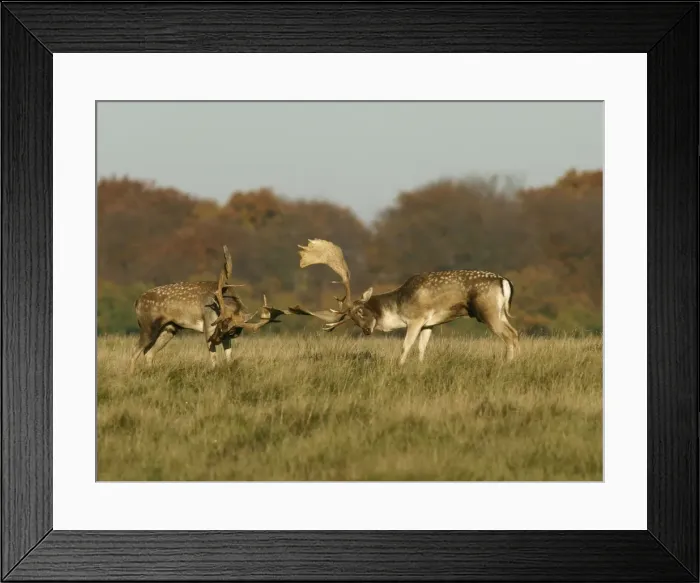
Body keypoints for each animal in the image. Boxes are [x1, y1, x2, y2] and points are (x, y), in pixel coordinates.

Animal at [129, 245, 289, 371]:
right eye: (218, 323)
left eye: (231, 330)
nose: (214, 339)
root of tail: (137, 301)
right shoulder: (207, 325)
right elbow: (213, 358)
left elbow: (229, 356)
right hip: (148, 326)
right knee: (135, 351)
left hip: (169, 329)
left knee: (148, 352)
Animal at [288, 239, 519, 365]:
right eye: (352, 318)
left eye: (361, 311)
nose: (367, 331)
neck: (398, 307)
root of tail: (504, 281)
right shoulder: (429, 324)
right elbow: (422, 348)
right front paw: (420, 366)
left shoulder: (417, 318)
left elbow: (405, 346)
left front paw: (399, 366)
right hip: (500, 312)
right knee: (515, 332)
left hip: (487, 311)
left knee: (508, 336)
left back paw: (506, 364)